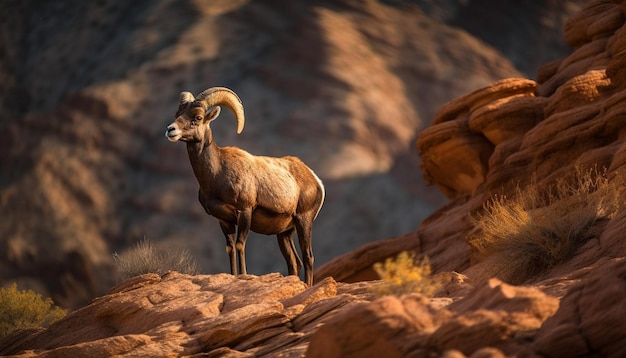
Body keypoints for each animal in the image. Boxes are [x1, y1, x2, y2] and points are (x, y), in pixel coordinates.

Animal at [163, 86, 324, 286]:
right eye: (178, 114)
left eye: (198, 117)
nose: (171, 130)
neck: (217, 173)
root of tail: (315, 179)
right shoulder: (224, 220)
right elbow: (230, 248)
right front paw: (233, 276)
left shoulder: (244, 212)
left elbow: (240, 245)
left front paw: (244, 275)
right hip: (285, 233)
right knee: (294, 262)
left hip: (304, 222)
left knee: (308, 257)